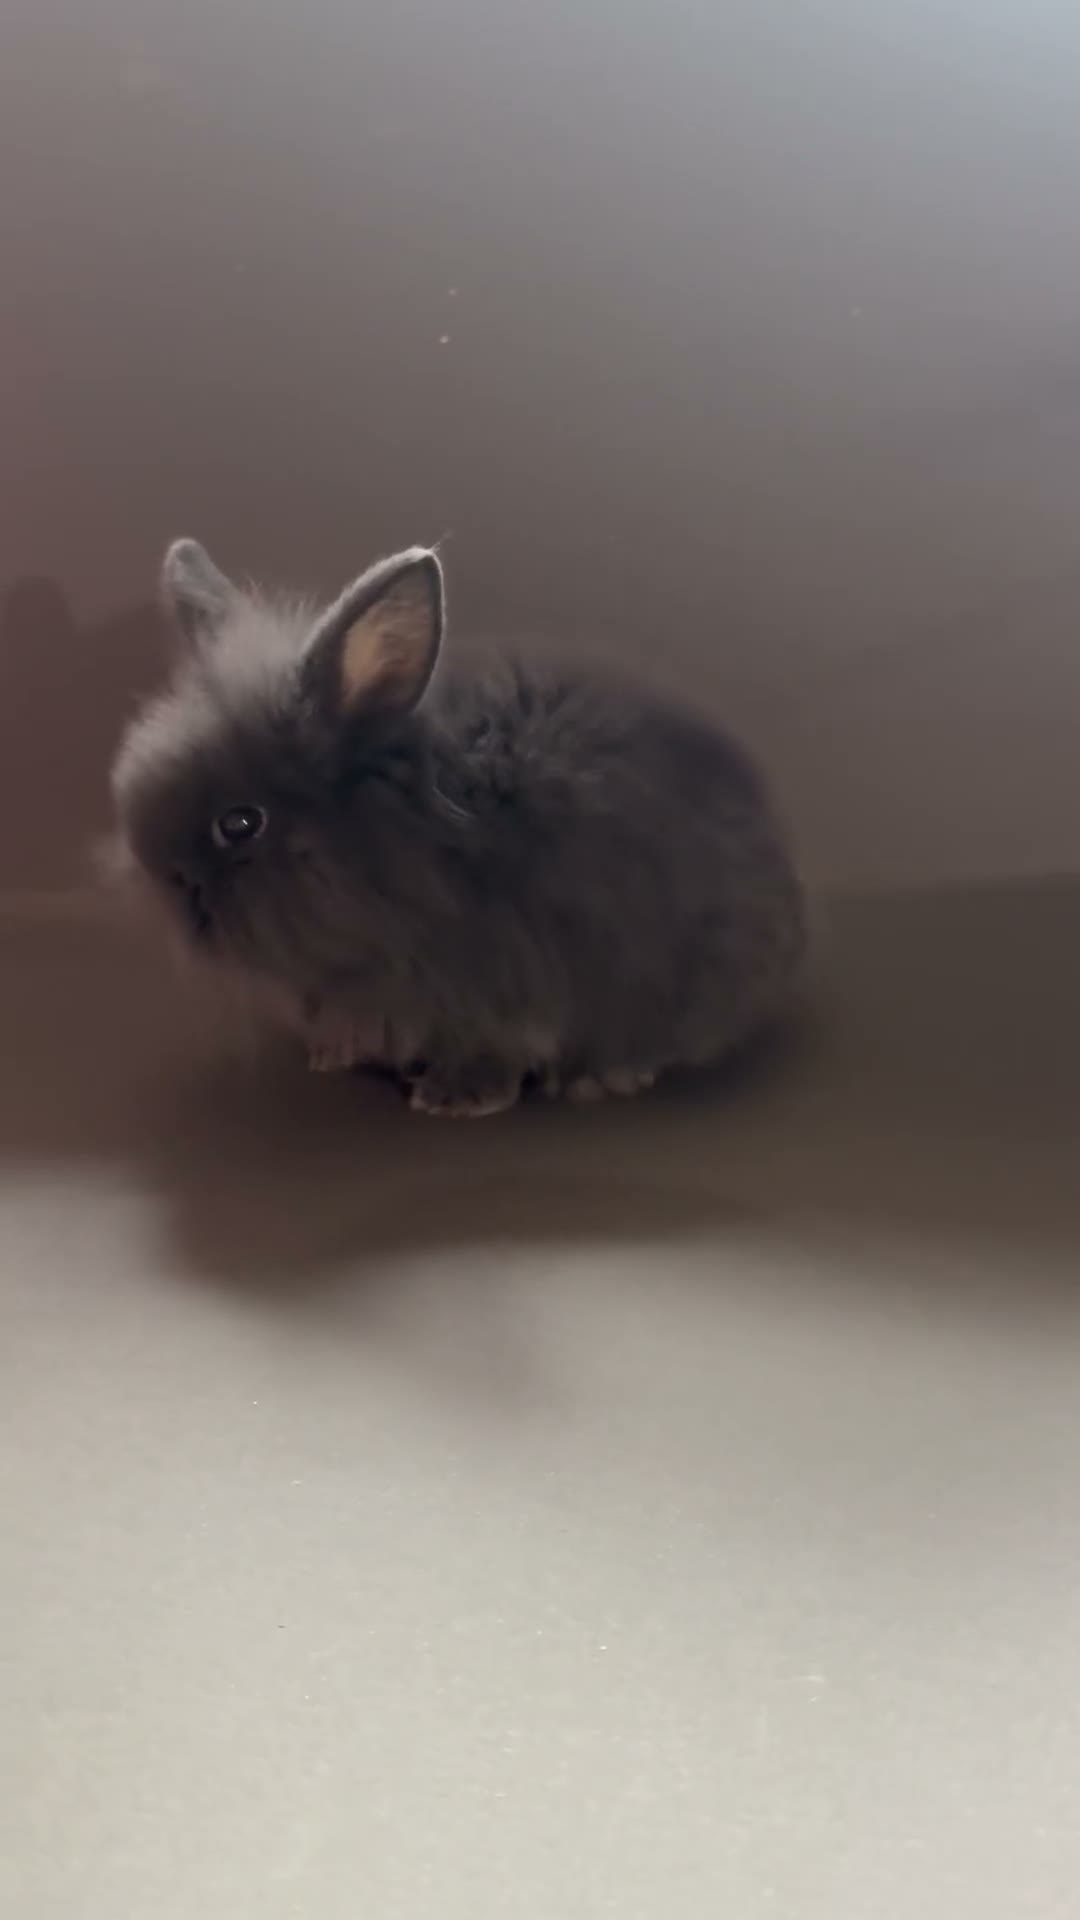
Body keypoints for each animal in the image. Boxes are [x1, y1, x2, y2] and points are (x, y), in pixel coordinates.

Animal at [110, 539, 805, 1117]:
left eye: (240, 824)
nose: (163, 879)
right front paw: (331, 1056)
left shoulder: (506, 984)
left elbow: (497, 1046)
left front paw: (456, 1099)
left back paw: (606, 1077)